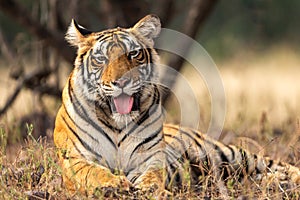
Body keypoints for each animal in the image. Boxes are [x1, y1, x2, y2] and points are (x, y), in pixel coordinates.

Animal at [54, 14, 300, 196]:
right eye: (101, 59)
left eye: (133, 54)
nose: (122, 82)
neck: (117, 124)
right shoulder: (75, 158)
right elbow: (92, 172)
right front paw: (113, 185)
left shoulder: (151, 158)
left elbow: (152, 176)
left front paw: (149, 190)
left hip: (226, 154)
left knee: (272, 163)